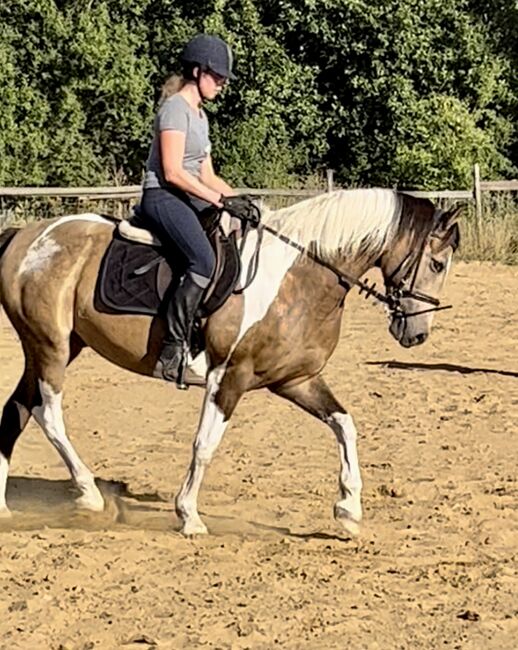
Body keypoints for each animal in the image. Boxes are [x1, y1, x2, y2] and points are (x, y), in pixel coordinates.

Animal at [0, 190, 464, 536]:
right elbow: (205, 445)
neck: (298, 276)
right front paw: (188, 515)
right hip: (51, 346)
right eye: (437, 263)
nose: (417, 335)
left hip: (51, 346)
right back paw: (90, 493)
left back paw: (6, 508)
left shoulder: (296, 379)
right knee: (48, 413)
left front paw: (348, 510)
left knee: (17, 410)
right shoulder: (229, 377)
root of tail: (26, 235)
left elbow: (344, 424)